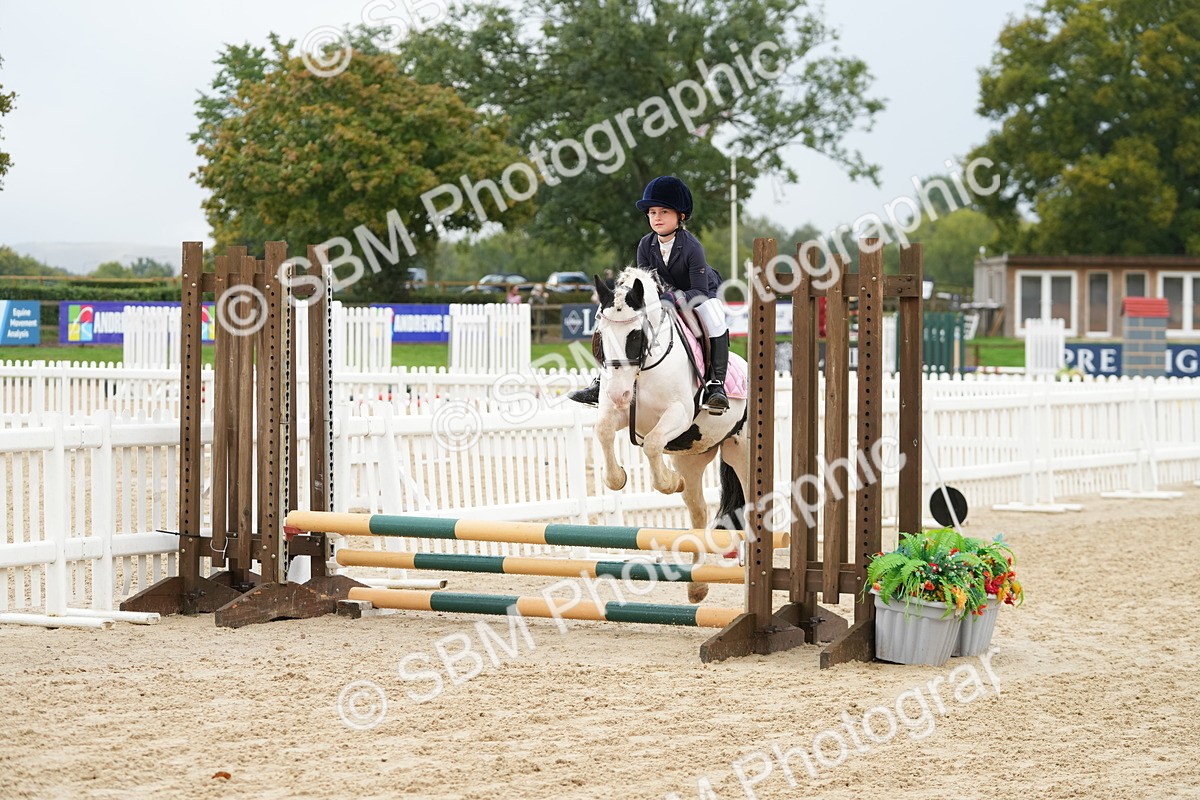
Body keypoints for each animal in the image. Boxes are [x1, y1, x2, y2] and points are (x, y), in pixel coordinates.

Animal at [591, 266, 749, 603]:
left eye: (635, 336)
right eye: (600, 335)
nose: (620, 394)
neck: (643, 369)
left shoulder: (678, 414)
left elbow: (652, 444)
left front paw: (668, 483)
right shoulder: (618, 411)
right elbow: (604, 431)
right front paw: (618, 479)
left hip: (741, 452)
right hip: (692, 456)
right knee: (699, 512)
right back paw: (697, 586)